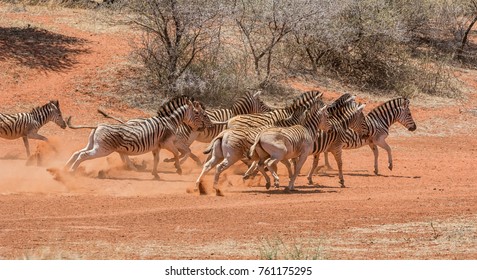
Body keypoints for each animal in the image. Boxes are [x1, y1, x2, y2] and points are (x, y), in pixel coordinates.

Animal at [65, 96, 212, 179]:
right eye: (198, 113)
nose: (206, 126)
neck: (170, 122)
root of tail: (97, 126)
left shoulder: (157, 146)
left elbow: (157, 159)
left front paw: (155, 174)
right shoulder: (167, 143)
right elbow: (176, 153)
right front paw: (178, 169)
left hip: (93, 145)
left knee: (77, 152)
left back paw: (65, 168)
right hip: (102, 149)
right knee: (83, 155)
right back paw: (71, 172)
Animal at [193, 91, 324, 195]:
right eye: (261, 102)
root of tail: (227, 126)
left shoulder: (281, 154)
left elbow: (283, 165)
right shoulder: (282, 153)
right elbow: (285, 165)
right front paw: (278, 182)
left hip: (220, 154)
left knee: (208, 164)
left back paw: (200, 184)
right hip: (231, 156)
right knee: (218, 166)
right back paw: (215, 187)